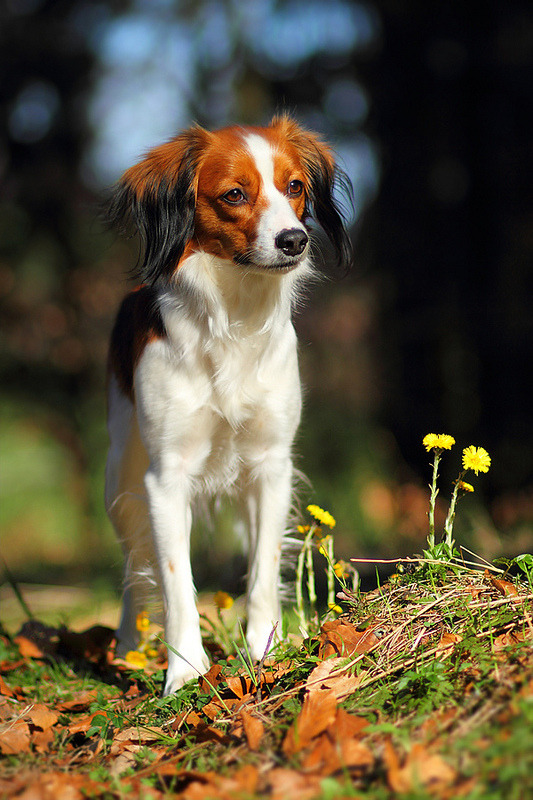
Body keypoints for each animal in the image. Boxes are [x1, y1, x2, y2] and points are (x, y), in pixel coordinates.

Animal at [105, 114, 352, 692]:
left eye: (294, 187)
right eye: (235, 194)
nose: (294, 240)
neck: (235, 316)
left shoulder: (270, 467)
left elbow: (261, 570)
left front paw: (266, 650)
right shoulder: (165, 479)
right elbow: (176, 584)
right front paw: (186, 673)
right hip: (120, 481)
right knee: (134, 570)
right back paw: (127, 646)